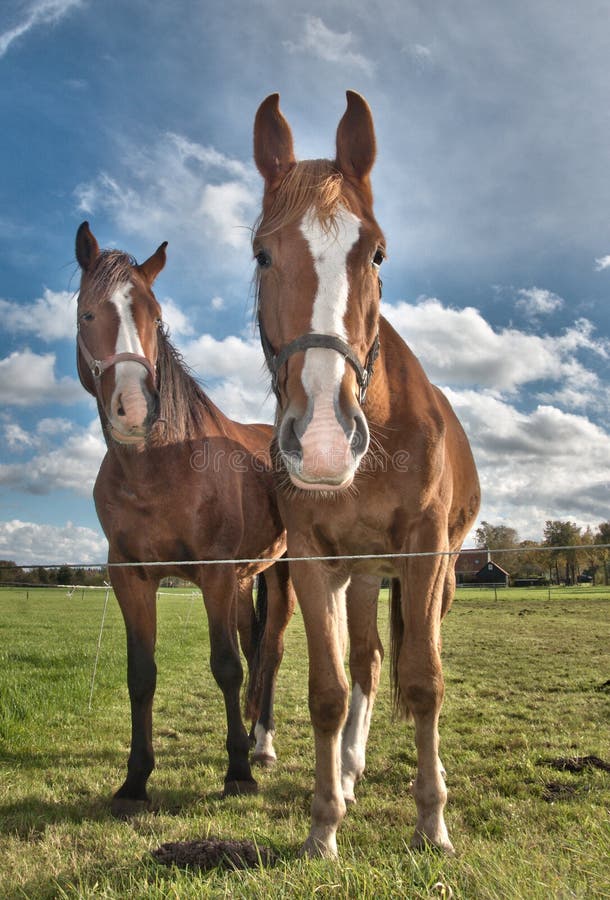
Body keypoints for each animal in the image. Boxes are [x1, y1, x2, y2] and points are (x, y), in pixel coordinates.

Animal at [75, 222, 295, 816]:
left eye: (155, 318)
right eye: (87, 313)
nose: (133, 409)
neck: (162, 466)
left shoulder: (214, 574)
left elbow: (226, 667)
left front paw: (238, 772)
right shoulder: (131, 577)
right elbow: (141, 674)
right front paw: (134, 780)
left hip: (279, 573)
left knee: (269, 650)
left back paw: (262, 745)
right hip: (244, 581)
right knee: (253, 643)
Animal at [252, 92, 480, 857]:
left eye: (377, 251)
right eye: (262, 253)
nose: (324, 440)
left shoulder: (424, 551)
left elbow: (426, 681)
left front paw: (432, 820)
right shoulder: (313, 558)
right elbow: (328, 689)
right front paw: (324, 822)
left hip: (430, 572)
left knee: (396, 660)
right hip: (358, 574)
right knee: (367, 660)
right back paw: (349, 770)